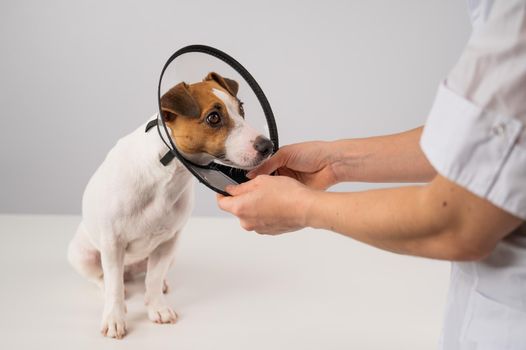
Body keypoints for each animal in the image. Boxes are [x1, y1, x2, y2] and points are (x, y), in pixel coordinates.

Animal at [67, 72, 274, 340]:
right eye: (214, 117)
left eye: (241, 109)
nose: (267, 146)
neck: (166, 170)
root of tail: (130, 269)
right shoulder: (112, 243)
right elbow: (113, 287)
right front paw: (114, 317)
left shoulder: (167, 243)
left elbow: (154, 278)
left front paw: (157, 307)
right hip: (83, 254)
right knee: (105, 278)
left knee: (147, 275)